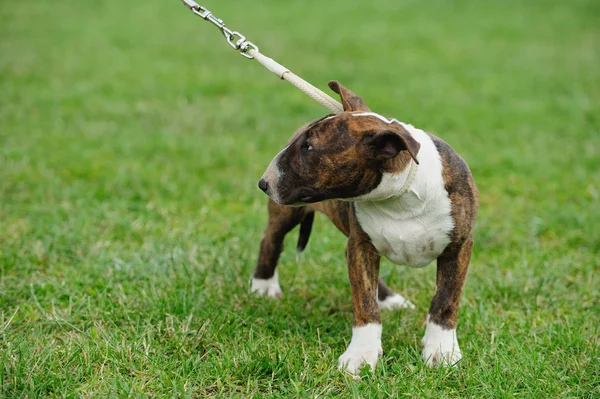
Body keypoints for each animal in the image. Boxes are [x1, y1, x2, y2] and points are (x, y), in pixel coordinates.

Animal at [250, 81, 478, 376]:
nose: (263, 183)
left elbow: (446, 300)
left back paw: (391, 299)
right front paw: (361, 355)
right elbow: (365, 304)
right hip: (287, 214)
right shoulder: (361, 246)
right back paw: (263, 286)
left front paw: (441, 351)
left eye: (309, 146)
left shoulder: (458, 247)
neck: (398, 196)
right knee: (271, 240)